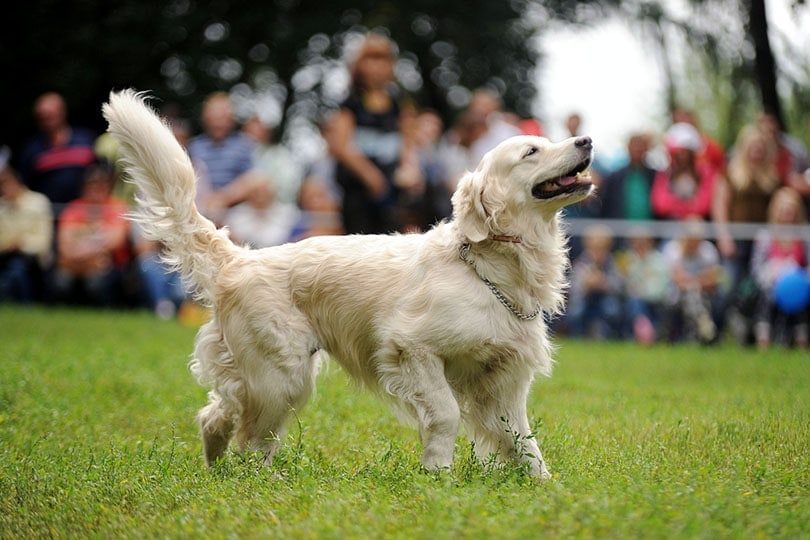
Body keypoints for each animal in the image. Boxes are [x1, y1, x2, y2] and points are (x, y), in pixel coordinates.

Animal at [102, 90, 592, 478]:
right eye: (531, 152)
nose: (586, 140)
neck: (489, 269)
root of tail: (239, 259)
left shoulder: (505, 380)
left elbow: (525, 441)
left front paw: (546, 486)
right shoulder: (412, 349)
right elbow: (446, 415)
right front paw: (439, 473)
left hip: (265, 375)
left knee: (217, 415)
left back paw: (215, 462)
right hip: (282, 377)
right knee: (252, 438)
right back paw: (262, 479)